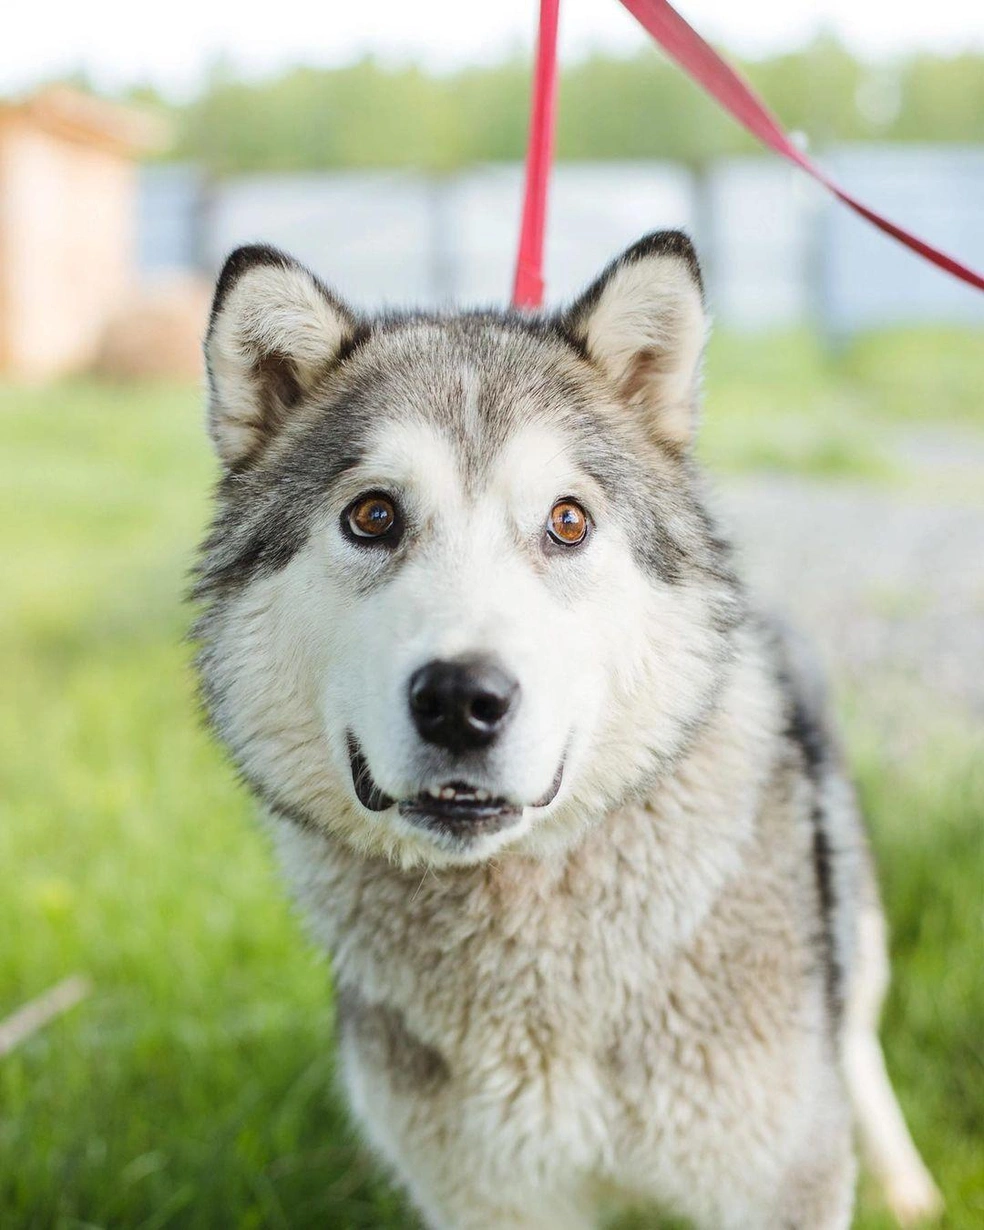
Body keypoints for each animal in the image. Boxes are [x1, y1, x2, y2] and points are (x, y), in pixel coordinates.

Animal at [194, 232, 944, 1230]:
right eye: (373, 516)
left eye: (567, 522)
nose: (461, 700)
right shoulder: (488, 1198)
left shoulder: (777, 1180)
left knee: (857, 1040)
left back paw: (909, 1187)